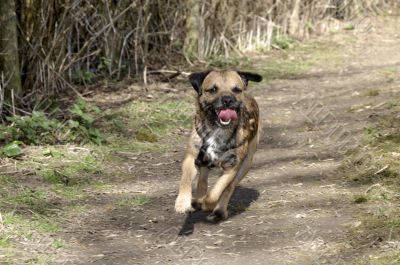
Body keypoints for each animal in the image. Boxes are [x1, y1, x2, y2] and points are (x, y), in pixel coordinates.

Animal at [174, 69, 262, 220]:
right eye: (213, 89)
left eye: (236, 89)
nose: (227, 100)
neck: (217, 130)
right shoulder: (192, 157)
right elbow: (185, 180)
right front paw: (182, 203)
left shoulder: (232, 166)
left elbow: (217, 191)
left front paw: (208, 204)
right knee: (202, 180)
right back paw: (198, 199)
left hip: (246, 164)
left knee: (229, 188)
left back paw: (219, 210)